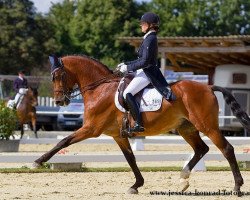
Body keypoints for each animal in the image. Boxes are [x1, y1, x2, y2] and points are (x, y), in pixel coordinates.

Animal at [33, 55, 250, 195]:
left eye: (58, 76)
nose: (59, 101)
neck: (99, 89)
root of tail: (208, 86)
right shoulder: (118, 135)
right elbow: (131, 159)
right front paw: (136, 185)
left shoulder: (91, 129)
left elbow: (63, 141)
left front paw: (38, 161)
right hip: (186, 127)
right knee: (201, 149)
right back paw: (183, 177)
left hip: (207, 126)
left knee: (226, 149)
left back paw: (237, 187)